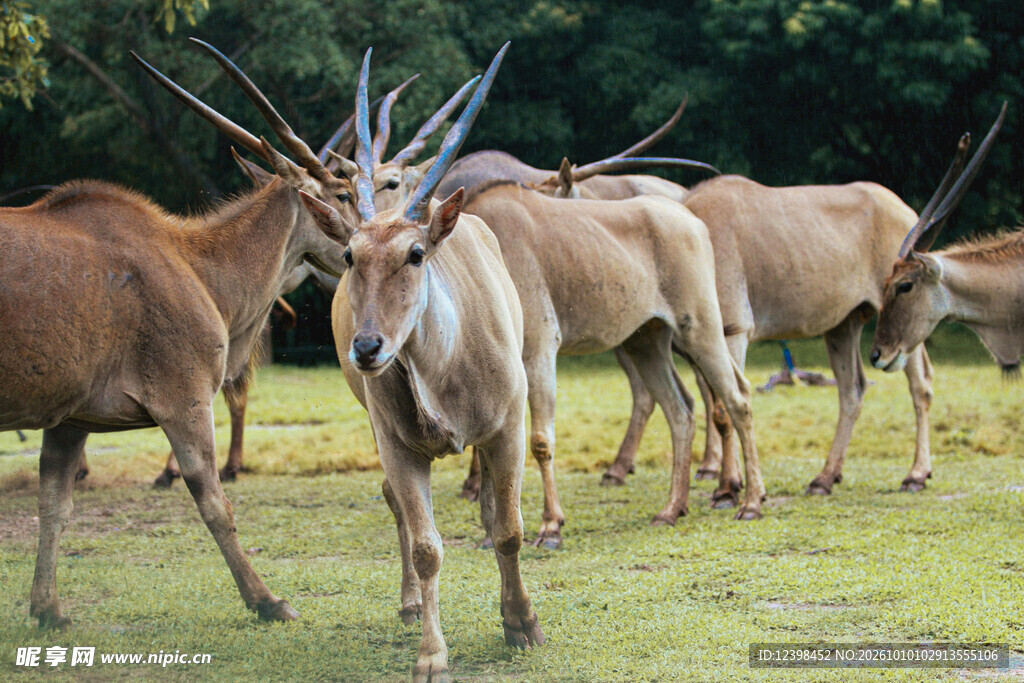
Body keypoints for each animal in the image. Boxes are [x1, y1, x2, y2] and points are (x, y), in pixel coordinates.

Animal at [297, 45, 545, 683]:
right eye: (350, 255)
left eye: (414, 253)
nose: (366, 348)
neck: (444, 370)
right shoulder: (400, 446)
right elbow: (426, 545)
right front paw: (432, 655)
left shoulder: (508, 428)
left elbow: (509, 530)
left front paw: (522, 625)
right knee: (403, 517)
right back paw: (410, 605)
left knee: (492, 515)